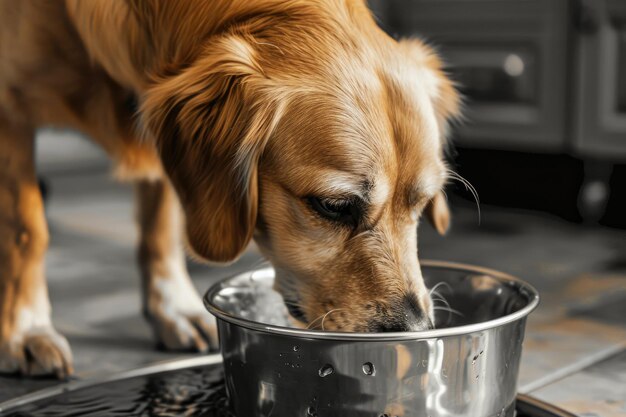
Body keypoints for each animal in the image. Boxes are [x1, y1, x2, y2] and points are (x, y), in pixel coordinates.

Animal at [0, 0, 458, 376]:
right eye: (332, 206)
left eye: (421, 205)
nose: (416, 328)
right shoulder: (10, 108)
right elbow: (26, 230)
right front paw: (26, 330)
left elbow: (161, 224)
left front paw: (173, 307)